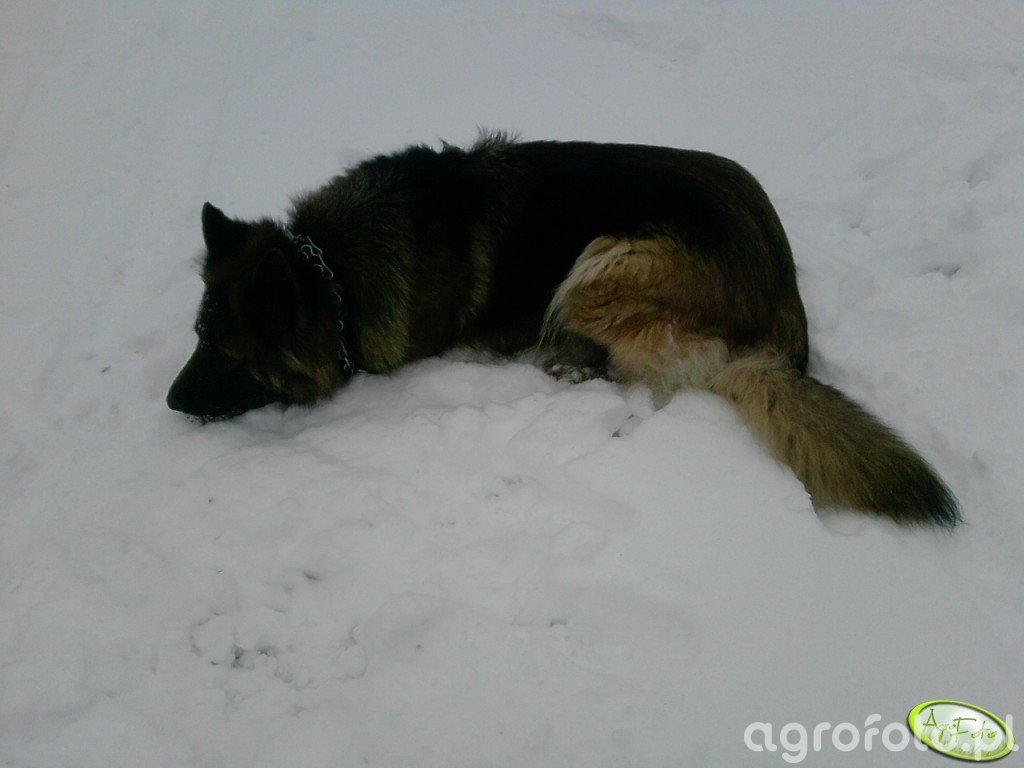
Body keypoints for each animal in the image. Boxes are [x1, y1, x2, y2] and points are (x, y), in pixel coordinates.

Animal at [167, 133, 960, 527]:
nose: (171, 402)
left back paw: (573, 369)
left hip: (602, 263)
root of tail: (785, 308)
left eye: (227, 353)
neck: (328, 265)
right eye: (197, 334)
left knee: (676, 370)